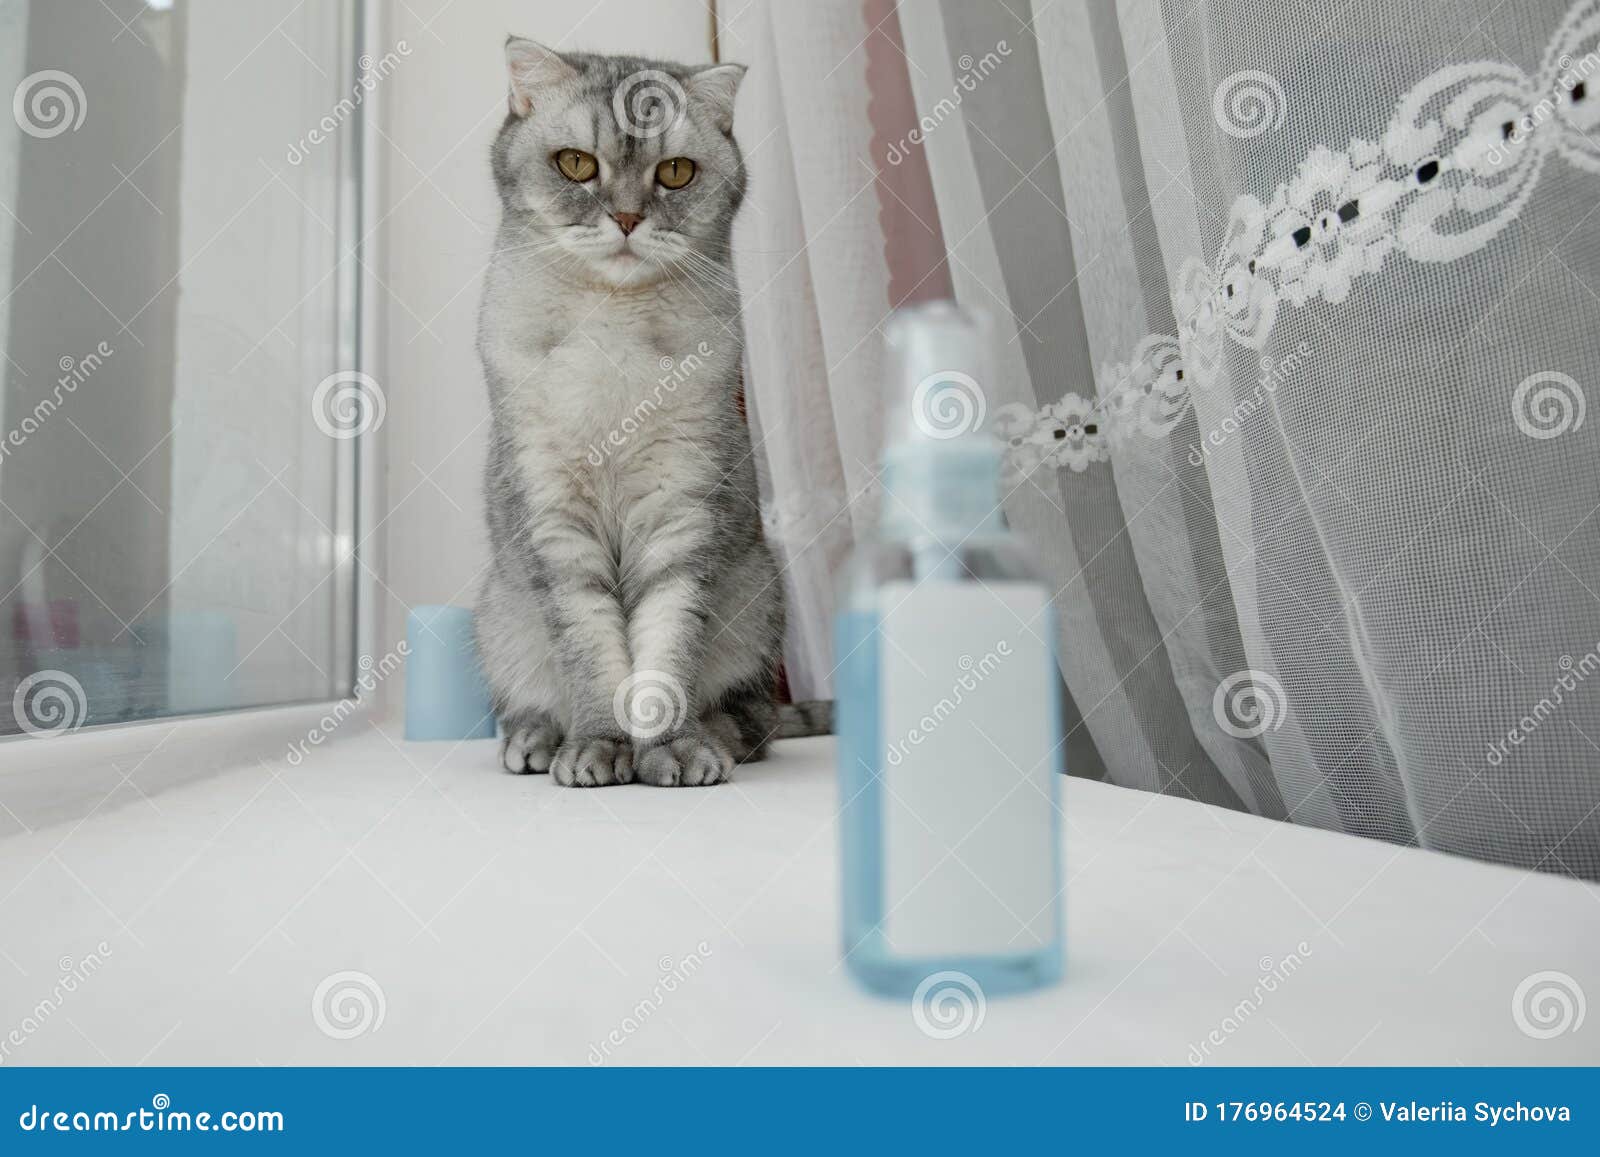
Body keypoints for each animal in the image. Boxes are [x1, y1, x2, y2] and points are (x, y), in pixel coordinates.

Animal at [473, 40, 832, 790]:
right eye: (577, 164)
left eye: (675, 172)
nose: (629, 218)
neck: (612, 327)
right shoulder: (554, 516)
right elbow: (589, 649)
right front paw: (600, 747)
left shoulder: (680, 507)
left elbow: (666, 653)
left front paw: (670, 747)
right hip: (498, 617)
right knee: (529, 703)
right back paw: (536, 739)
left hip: (758, 602)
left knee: (754, 720)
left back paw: (715, 736)